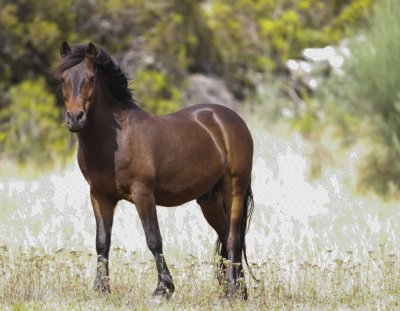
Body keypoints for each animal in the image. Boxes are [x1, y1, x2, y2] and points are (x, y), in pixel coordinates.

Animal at [55, 41, 255, 300]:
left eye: (91, 79)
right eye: (62, 79)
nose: (75, 118)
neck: (115, 140)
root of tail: (230, 118)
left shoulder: (143, 193)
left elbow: (153, 239)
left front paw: (163, 289)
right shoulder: (100, 196)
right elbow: (102, 241)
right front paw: (101, 288)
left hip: (235, 187)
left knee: (232, 237)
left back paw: (232, 290)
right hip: (209, 199)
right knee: (225, 235)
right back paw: (238, 290)